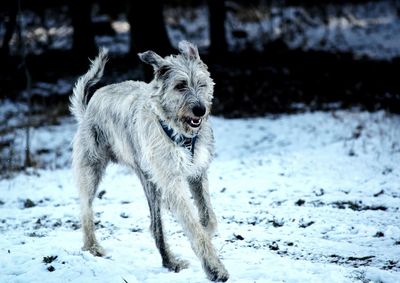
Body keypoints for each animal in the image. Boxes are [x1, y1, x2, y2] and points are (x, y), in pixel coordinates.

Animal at [69, 41, 228, 282]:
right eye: (180, 86)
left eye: (202, 83)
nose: (200, 110)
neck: (178, 131)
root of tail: (88, 108)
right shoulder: (171, 181)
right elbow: (193, 226)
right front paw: (214, 268)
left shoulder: (197, 173)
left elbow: (208, 219)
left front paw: (205, 229)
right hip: (92, 169)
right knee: (86, 210)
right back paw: (92, 247)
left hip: (149, 180)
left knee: (155, 225)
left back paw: (170, 261)